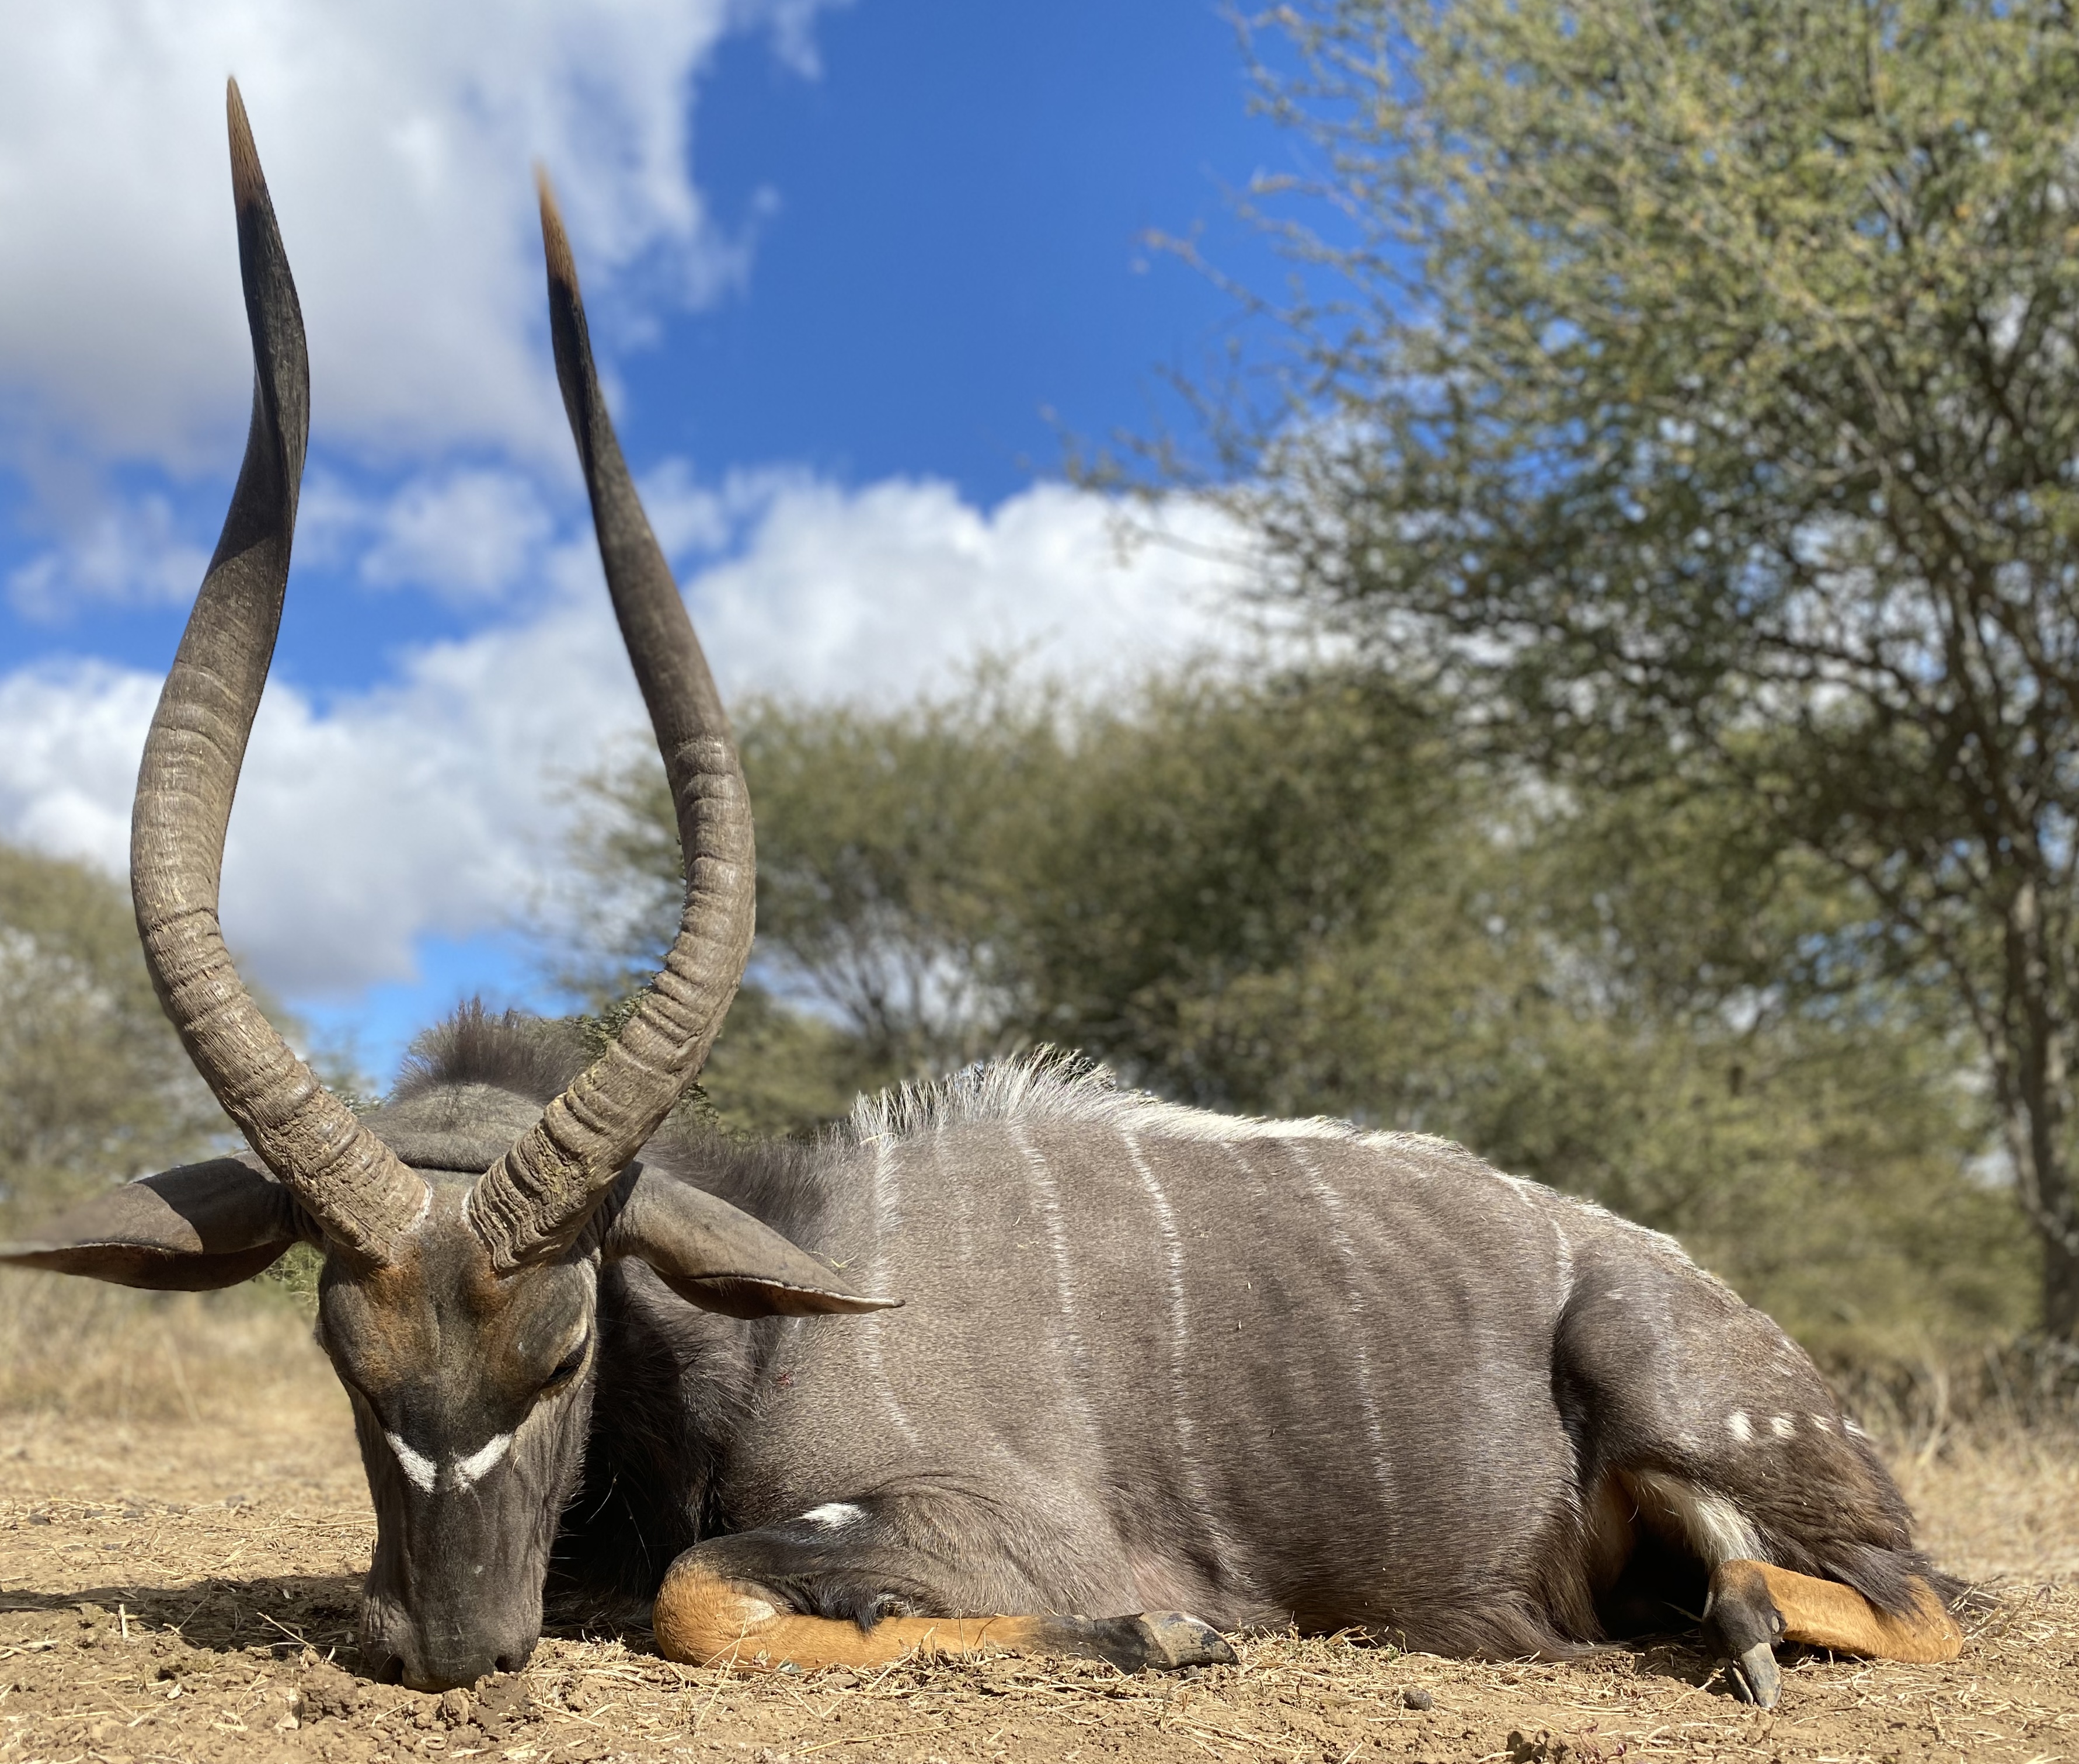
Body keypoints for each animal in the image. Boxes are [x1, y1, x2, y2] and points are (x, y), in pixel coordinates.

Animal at [4, 85, 1964, 1706]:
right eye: (340, 1350)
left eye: (561, 1350)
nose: (445, 1639)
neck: (769, 1310)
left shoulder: (985, 1520)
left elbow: (705, 1590)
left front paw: (1166, 1629)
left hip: (1675, 1394)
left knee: (1909, 1593)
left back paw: (1734, 1607)